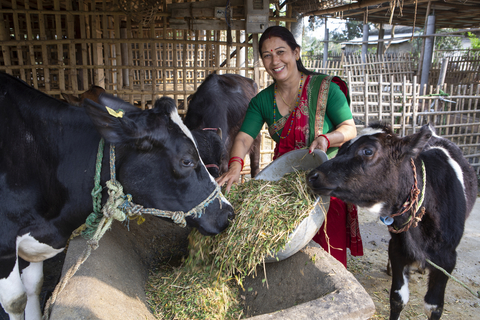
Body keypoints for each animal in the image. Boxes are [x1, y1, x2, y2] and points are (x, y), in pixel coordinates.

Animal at [308, 123, 476, 320]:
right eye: (341, 148)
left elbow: (434, 307)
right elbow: (397, 298)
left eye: (367, 151)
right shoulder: (398, 249)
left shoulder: (447, 259)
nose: (312, 175)